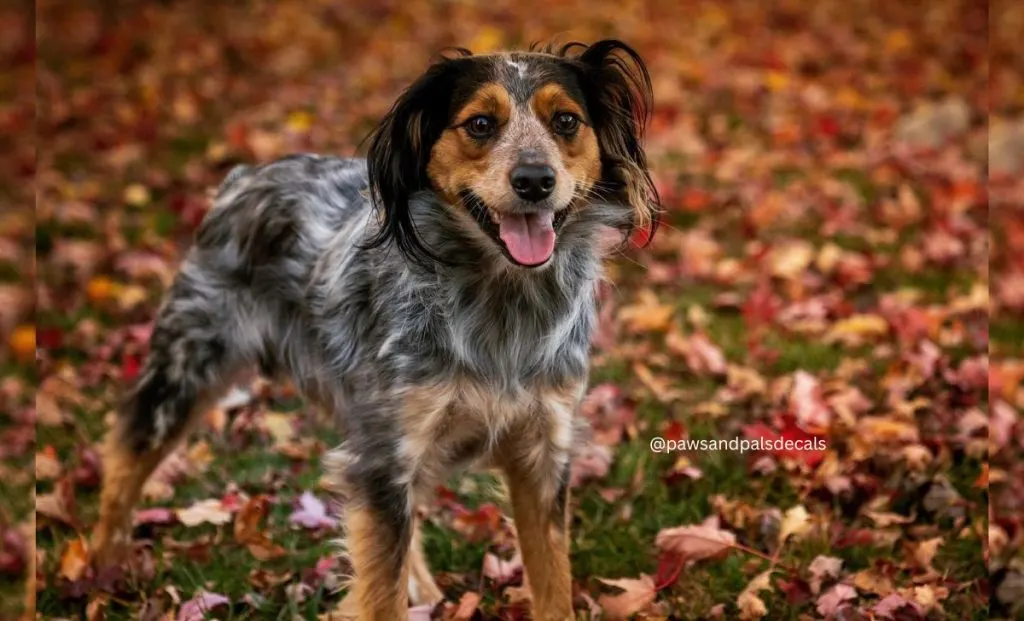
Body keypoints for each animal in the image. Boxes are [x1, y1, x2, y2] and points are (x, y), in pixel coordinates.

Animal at [92, 40, 659, 621]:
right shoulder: (385, 456)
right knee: (124, 460)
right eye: (480, 124)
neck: (502, 303)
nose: (535, 180)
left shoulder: (543, 454)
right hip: (185, 368)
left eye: (565, 121)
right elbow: (379, 592)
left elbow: (552, 584)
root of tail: (243, 177)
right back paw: (99, 566)